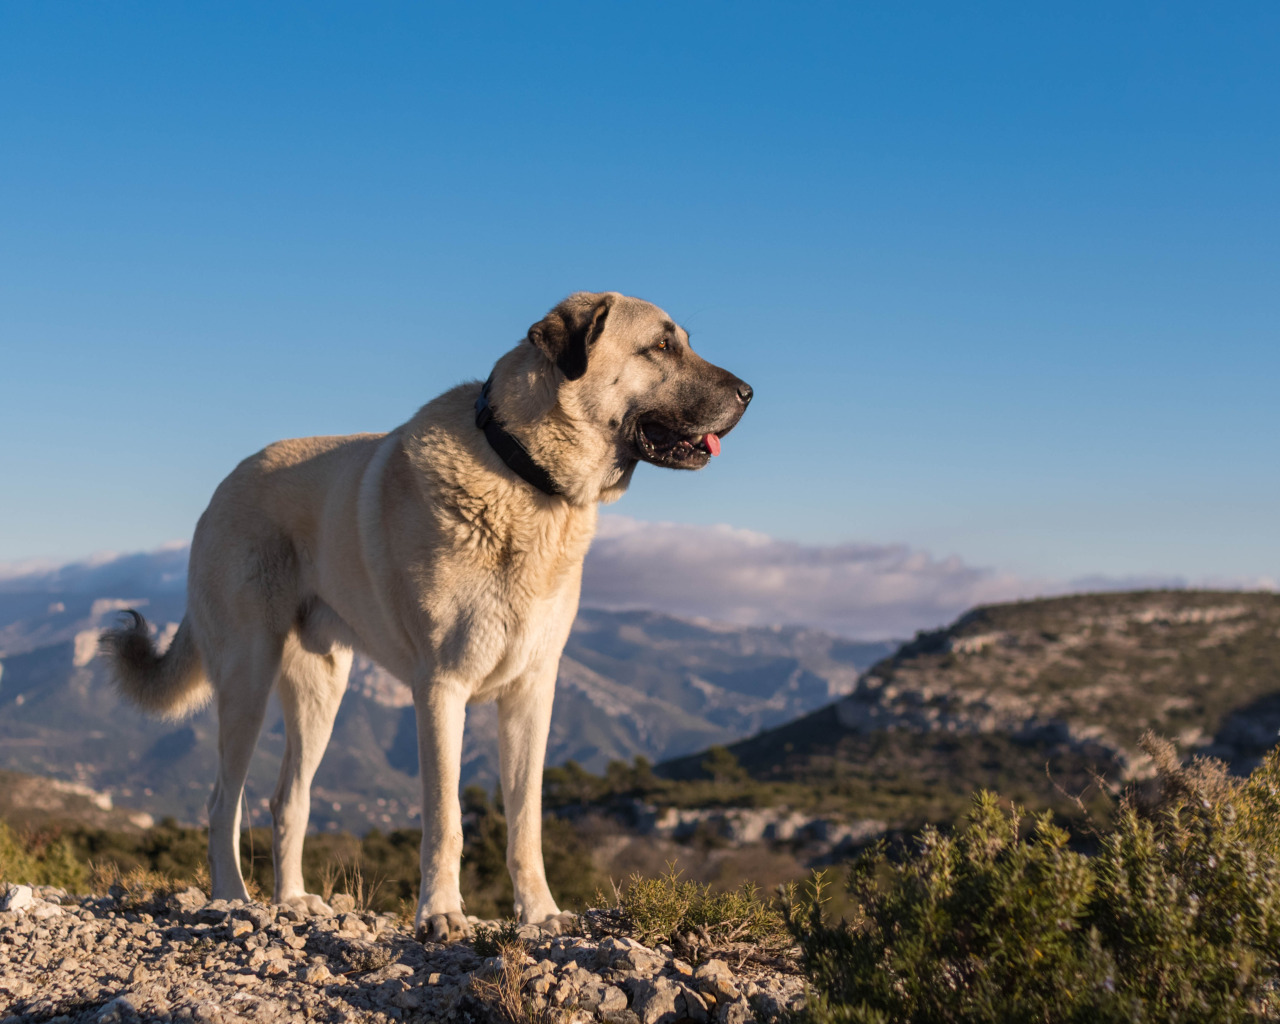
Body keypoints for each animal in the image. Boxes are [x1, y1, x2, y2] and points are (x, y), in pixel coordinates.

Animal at [107, 290, 757, 942]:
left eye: (683, 342)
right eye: (661, 346)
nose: (750, 392)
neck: (523, 475)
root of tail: (225, 484)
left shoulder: (531, 692)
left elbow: (526, 822)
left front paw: (540, 912)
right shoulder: (442, 689)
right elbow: (447, 818)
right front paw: (441, 912)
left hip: (322, 689)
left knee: (287, 799)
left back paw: (291, 899)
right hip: (248, 676)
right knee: (223, 801)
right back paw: (231, 898)